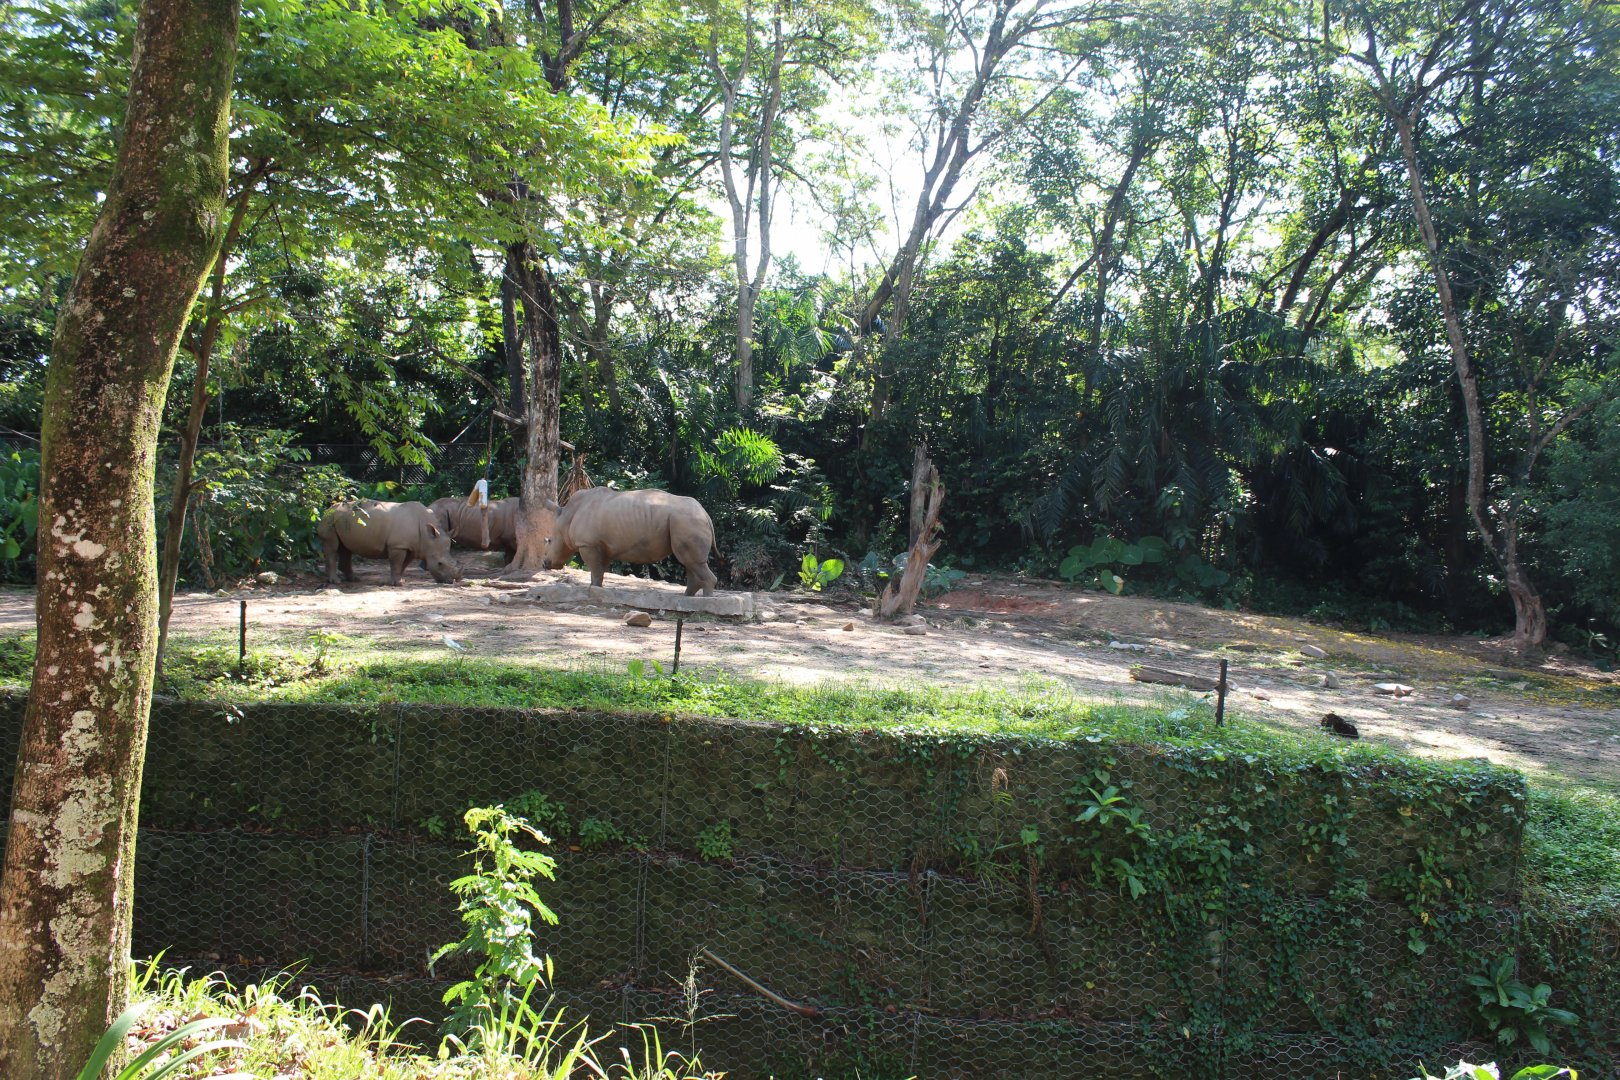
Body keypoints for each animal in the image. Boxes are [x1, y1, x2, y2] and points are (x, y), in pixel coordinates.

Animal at [318, 499, 461, 586]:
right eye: (440, 564)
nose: (454, 580)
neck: (428, 537)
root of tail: (329, 507)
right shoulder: (398, 546)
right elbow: (396, 563)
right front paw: (398, 583)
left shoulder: (411, 547)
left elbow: (404, 564)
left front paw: (400, 580)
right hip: (329, 518)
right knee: (332, 547)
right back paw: (336, 582)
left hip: (341, 519)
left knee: (346, 549)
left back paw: (354, 579)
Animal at [541, 487, 718, 596]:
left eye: (549, 541)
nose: (545, 563)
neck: (566, 515)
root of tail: (705, 514)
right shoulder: (602, 546)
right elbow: (600, 571)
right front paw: (597, 589)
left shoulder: (588, 544)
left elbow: (595, 570)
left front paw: (592, 590)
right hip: (686, 521)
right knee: (690, 563)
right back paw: (687, 598)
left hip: (687, 521)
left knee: (691, 561)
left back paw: (705, 602)